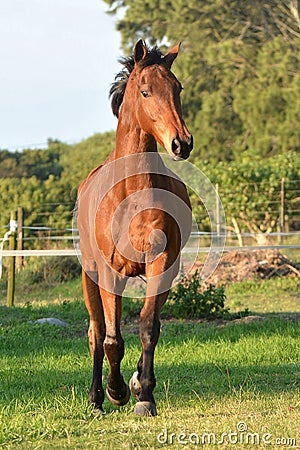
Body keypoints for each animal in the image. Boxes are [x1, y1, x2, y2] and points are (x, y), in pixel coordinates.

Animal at [77, 40, 193, 416]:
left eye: (177, 88)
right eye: (145, 91)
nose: (181, 143)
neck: (131, 192)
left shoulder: (162, 263)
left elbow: (148, 326)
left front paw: (143, 394)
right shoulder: (110, 271)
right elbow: (112, 339)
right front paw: (116, 392)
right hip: (91, 275)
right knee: (97, 333)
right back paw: (97, 399)